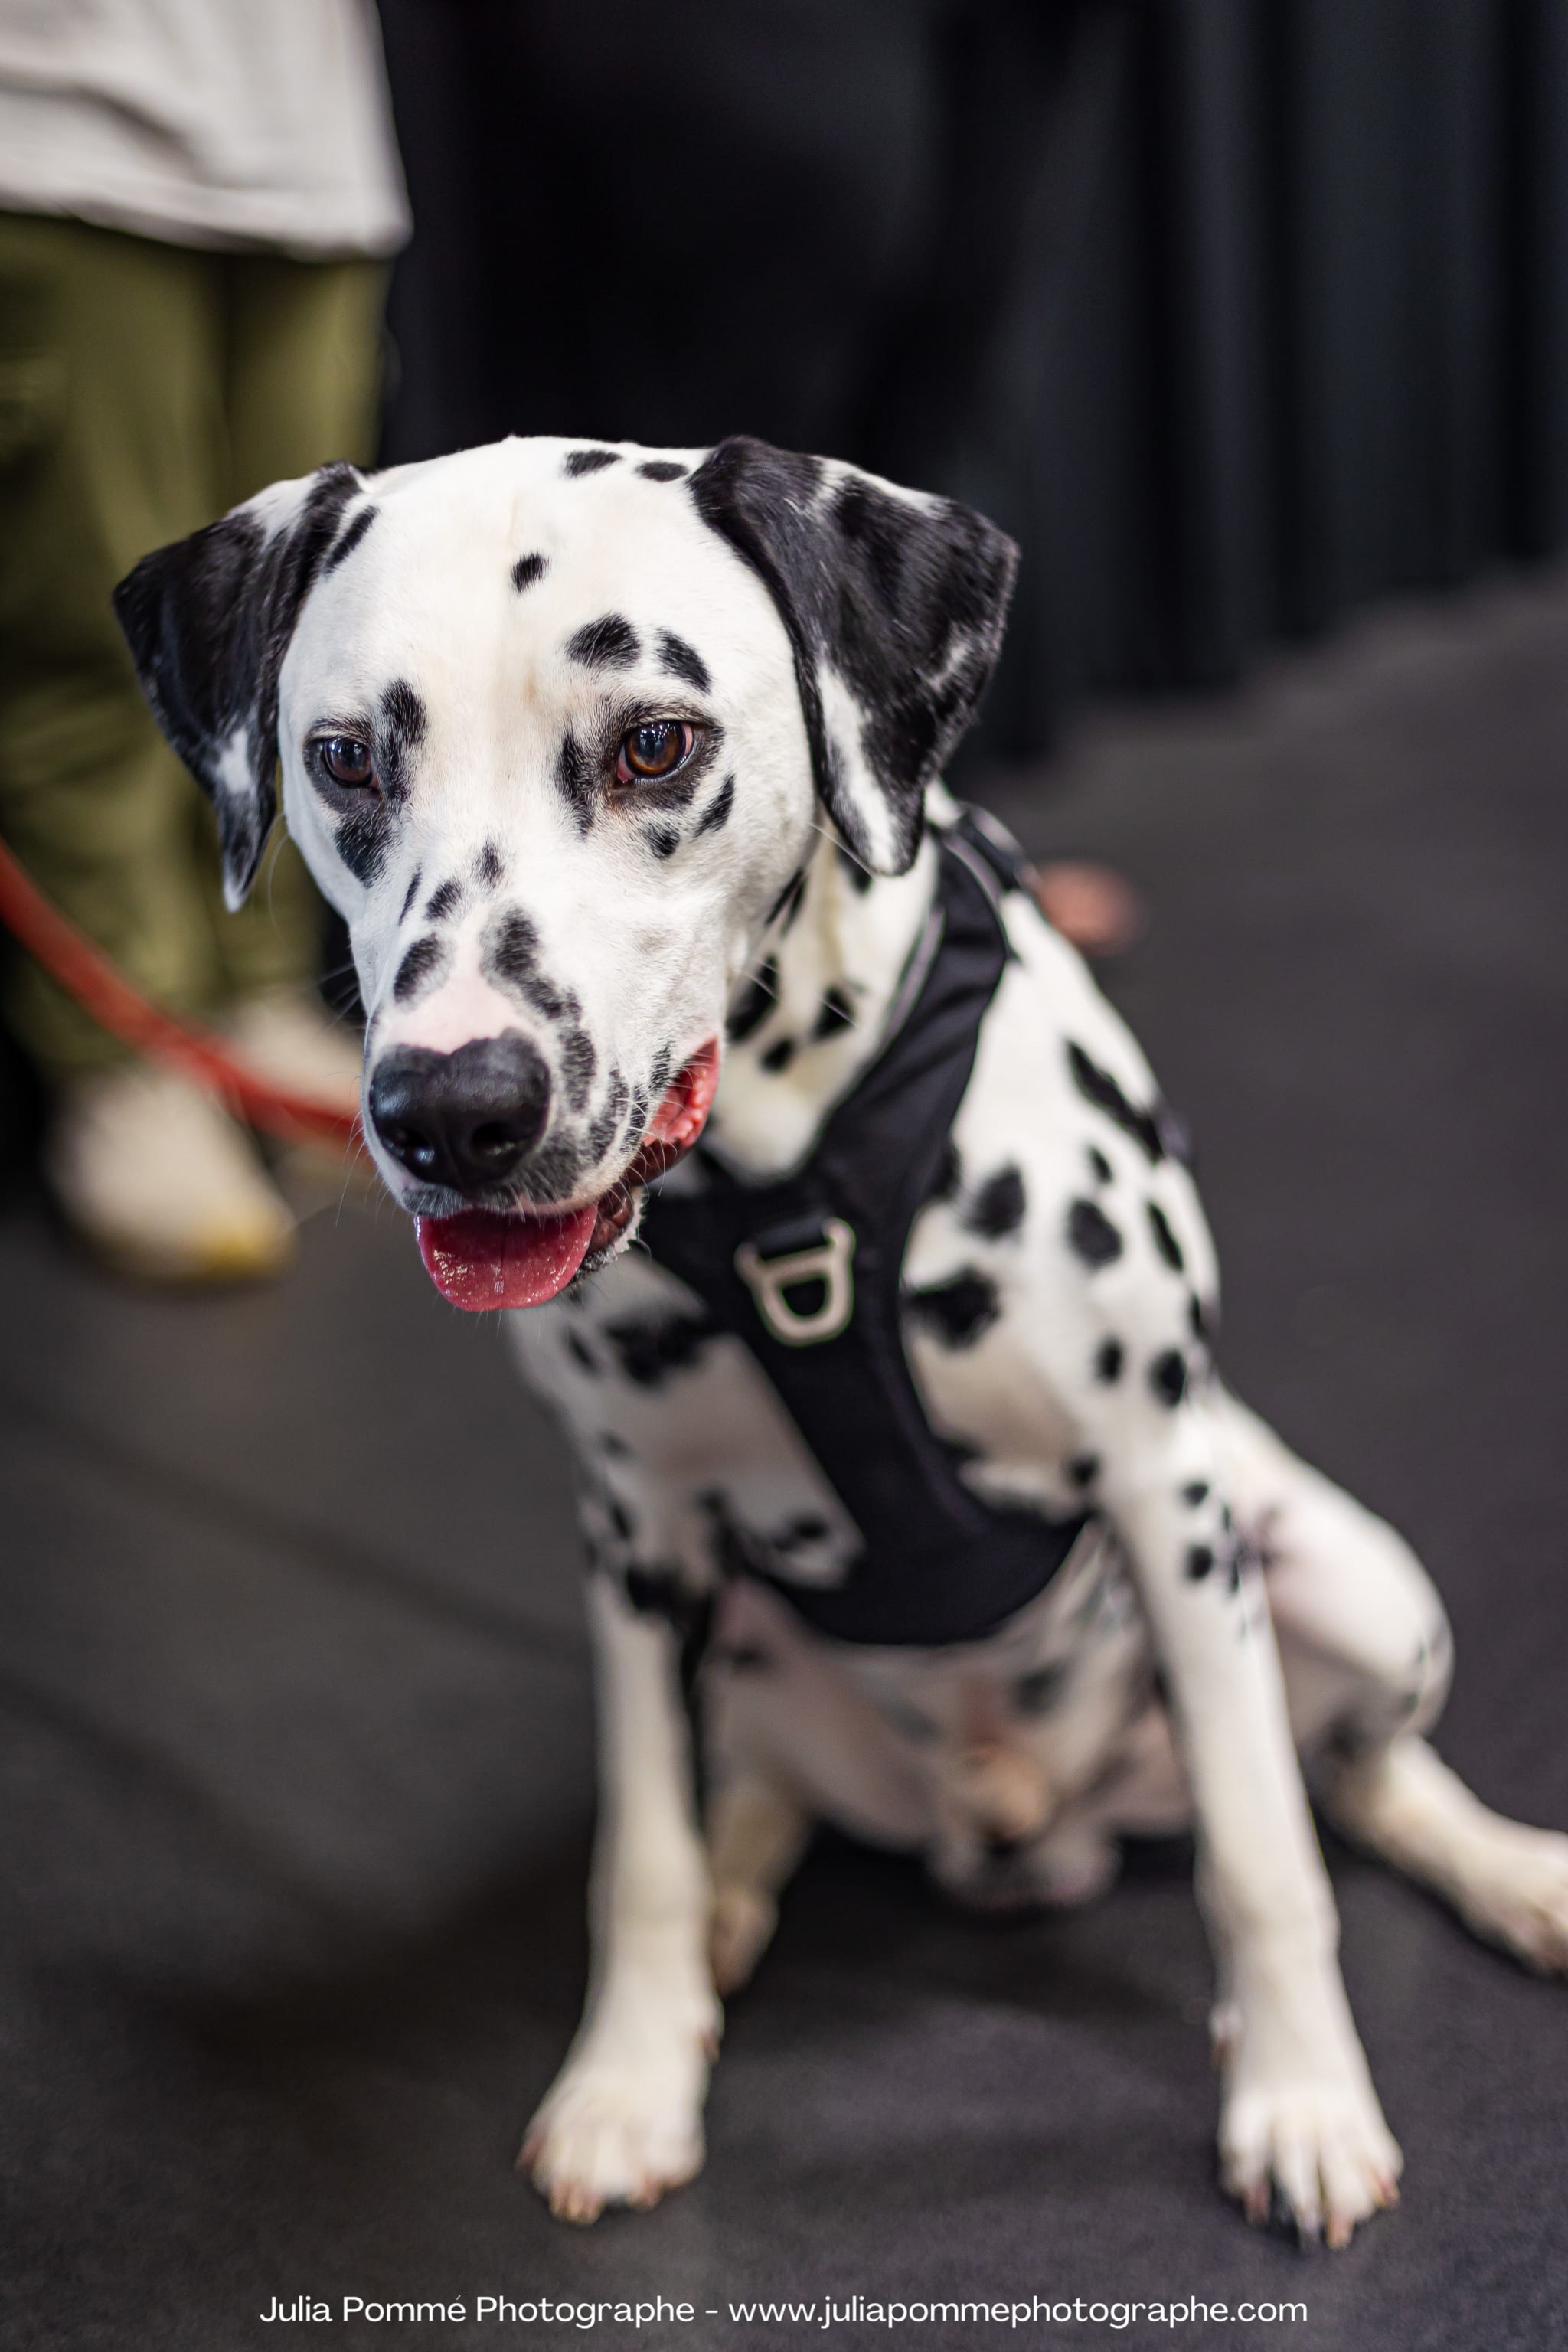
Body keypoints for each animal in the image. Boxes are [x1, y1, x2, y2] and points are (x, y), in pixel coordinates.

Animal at [113, 433, 1568, 2248]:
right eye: (344, 758)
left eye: (656, 744)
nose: (452, 1109)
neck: (790, 1180)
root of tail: (1012, 1817)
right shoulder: (637, 1545)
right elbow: (642, 1851)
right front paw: (629, 2072)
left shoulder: (1163, 1492)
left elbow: (1260, 1850)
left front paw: (1299, 2099)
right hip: (742, 1649)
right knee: (748, 1797)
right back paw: (731, 1922)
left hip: (1345, 1580)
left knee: (1361, 1782)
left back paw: (1512, 1873)